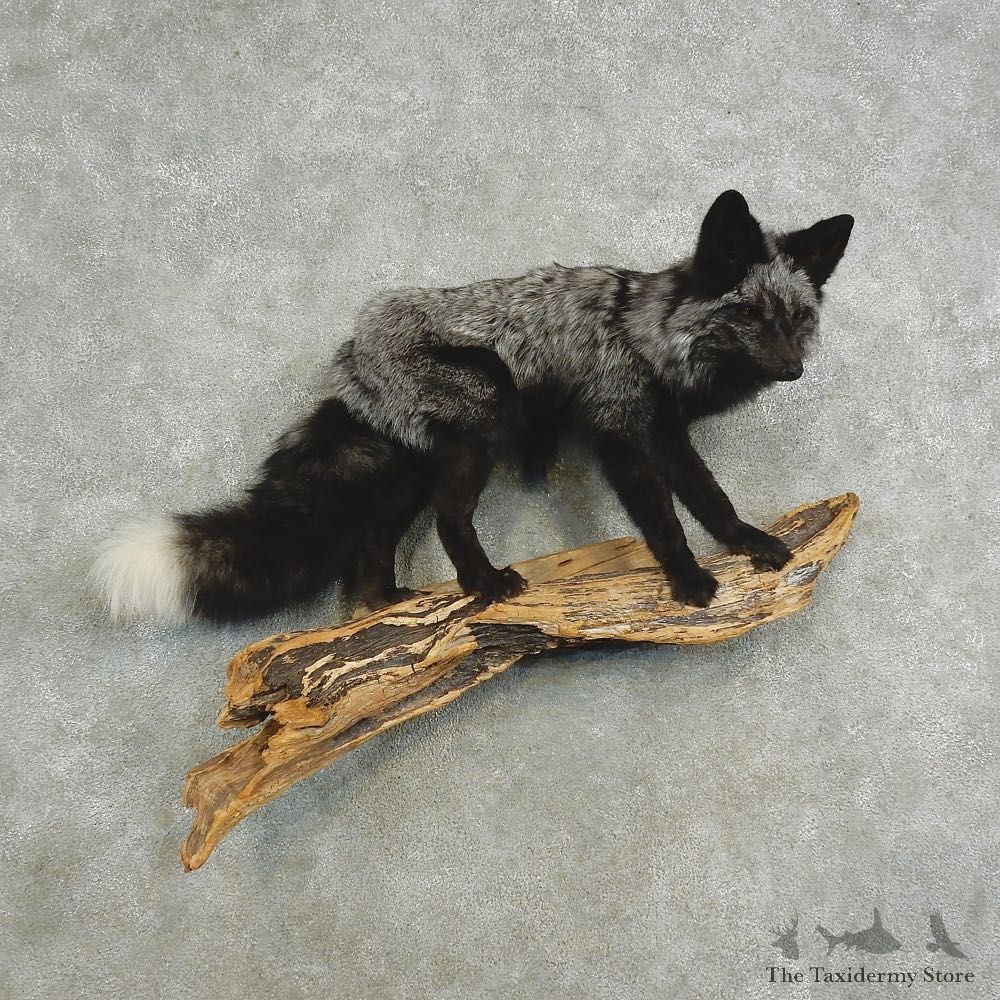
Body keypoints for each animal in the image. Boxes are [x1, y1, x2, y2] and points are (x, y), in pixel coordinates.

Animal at [93, 189, 853, 623]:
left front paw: (747, 542)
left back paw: (386, 607)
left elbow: (708, 497)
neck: (647, 336)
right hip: (487, 415)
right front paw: (689, 579)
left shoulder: (664, 433)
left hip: (410, 472)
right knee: (451, 519)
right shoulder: (618, 432)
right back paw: (483, 583)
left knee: (375, 542)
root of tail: (353, 361)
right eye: (748, 314)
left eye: (796, 317)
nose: (794, 370)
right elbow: (662, 517)